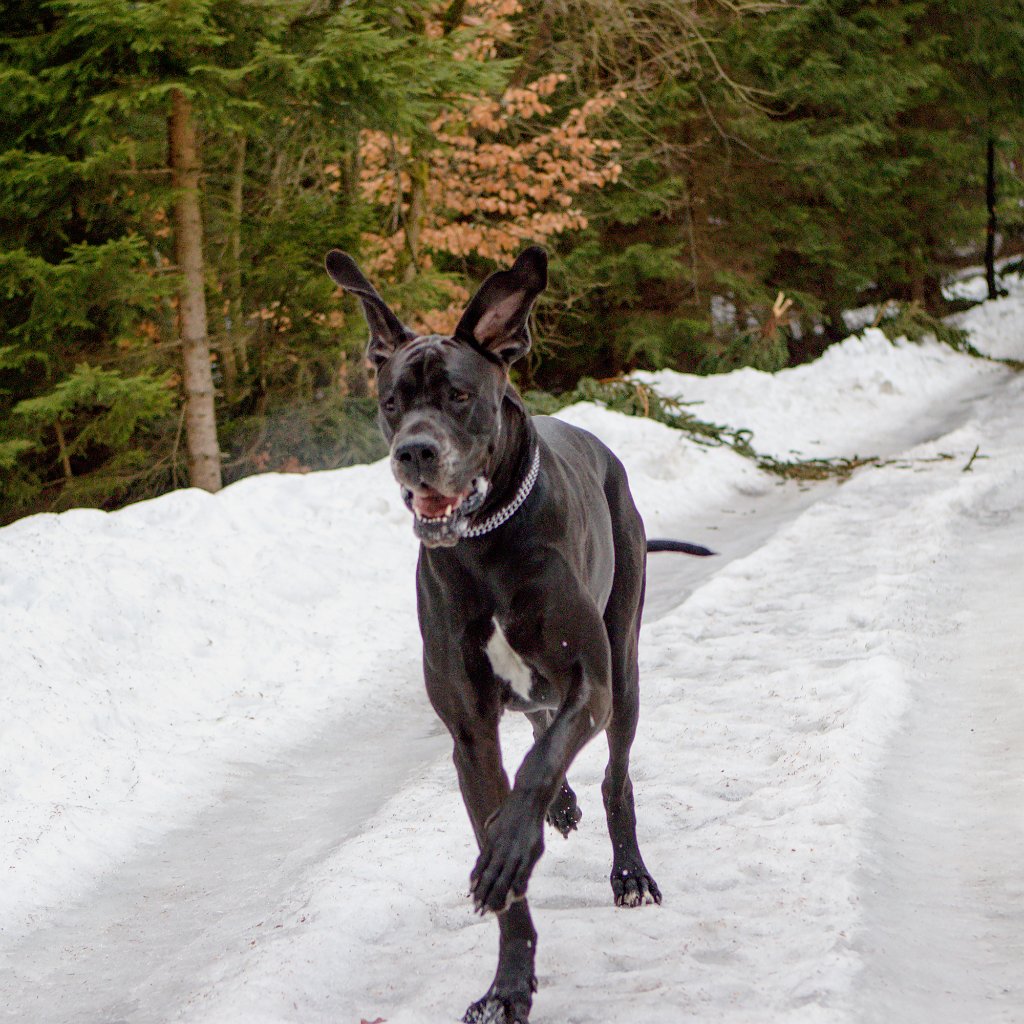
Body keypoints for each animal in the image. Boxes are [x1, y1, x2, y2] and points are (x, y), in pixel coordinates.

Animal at [323, 243, 708, 1019]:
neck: (485, 543)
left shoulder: (590, 680)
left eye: (459, 397)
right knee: (539, 723)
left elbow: (539, 767)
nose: (414, 452)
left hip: (625, 666)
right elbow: (508, 817)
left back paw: (628, 872)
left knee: (613, 774)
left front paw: (509, 850)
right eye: (391, 402)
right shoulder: (470, 731)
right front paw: (507, 987)